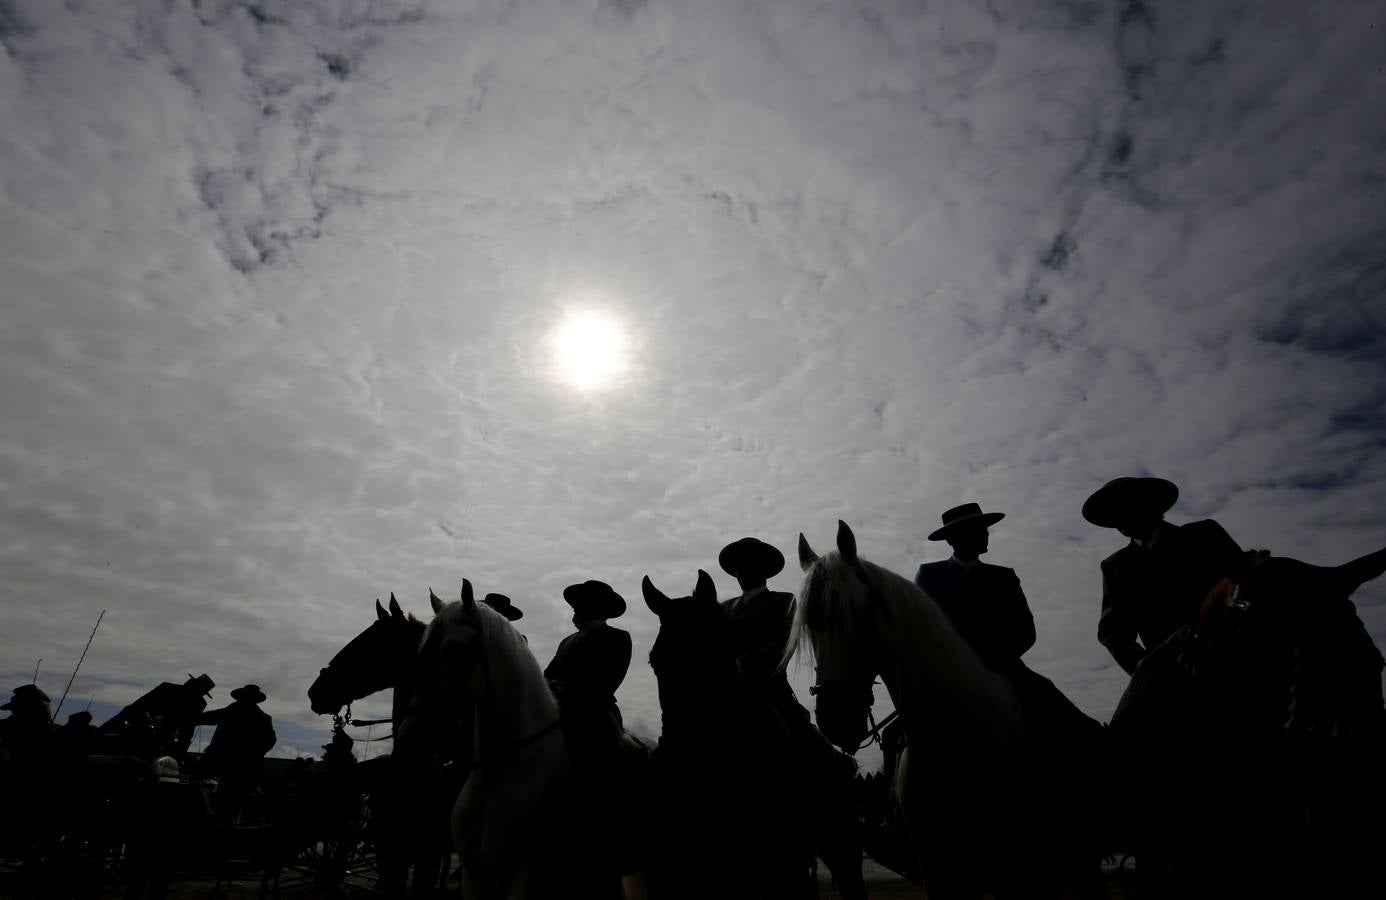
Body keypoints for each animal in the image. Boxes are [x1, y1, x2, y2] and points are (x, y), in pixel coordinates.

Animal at [399, 579, 620, 893]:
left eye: (454, 648)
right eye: (422, 650)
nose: (407, 735)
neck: (498, 772)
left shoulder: (525, 878)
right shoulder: (473, 877)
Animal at [792, 518, 1103, 898]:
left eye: (858, 615)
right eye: (810, 625)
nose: (835, 721)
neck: (954, 736)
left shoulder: (1015, 872)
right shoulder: (938, 868)